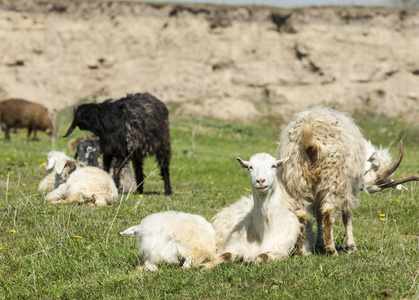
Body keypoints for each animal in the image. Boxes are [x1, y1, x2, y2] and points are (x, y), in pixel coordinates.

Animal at [278, 106, 418, 256]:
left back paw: (298, 251)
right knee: (328, 212)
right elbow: (346, 214)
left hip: (296, 178)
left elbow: (318, 215)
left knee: (301, 214)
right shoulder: (349, 187)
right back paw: (332, 250)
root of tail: (310, 140)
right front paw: (351, 246)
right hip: (333, 179)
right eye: (378, 182)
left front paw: (319, 244)